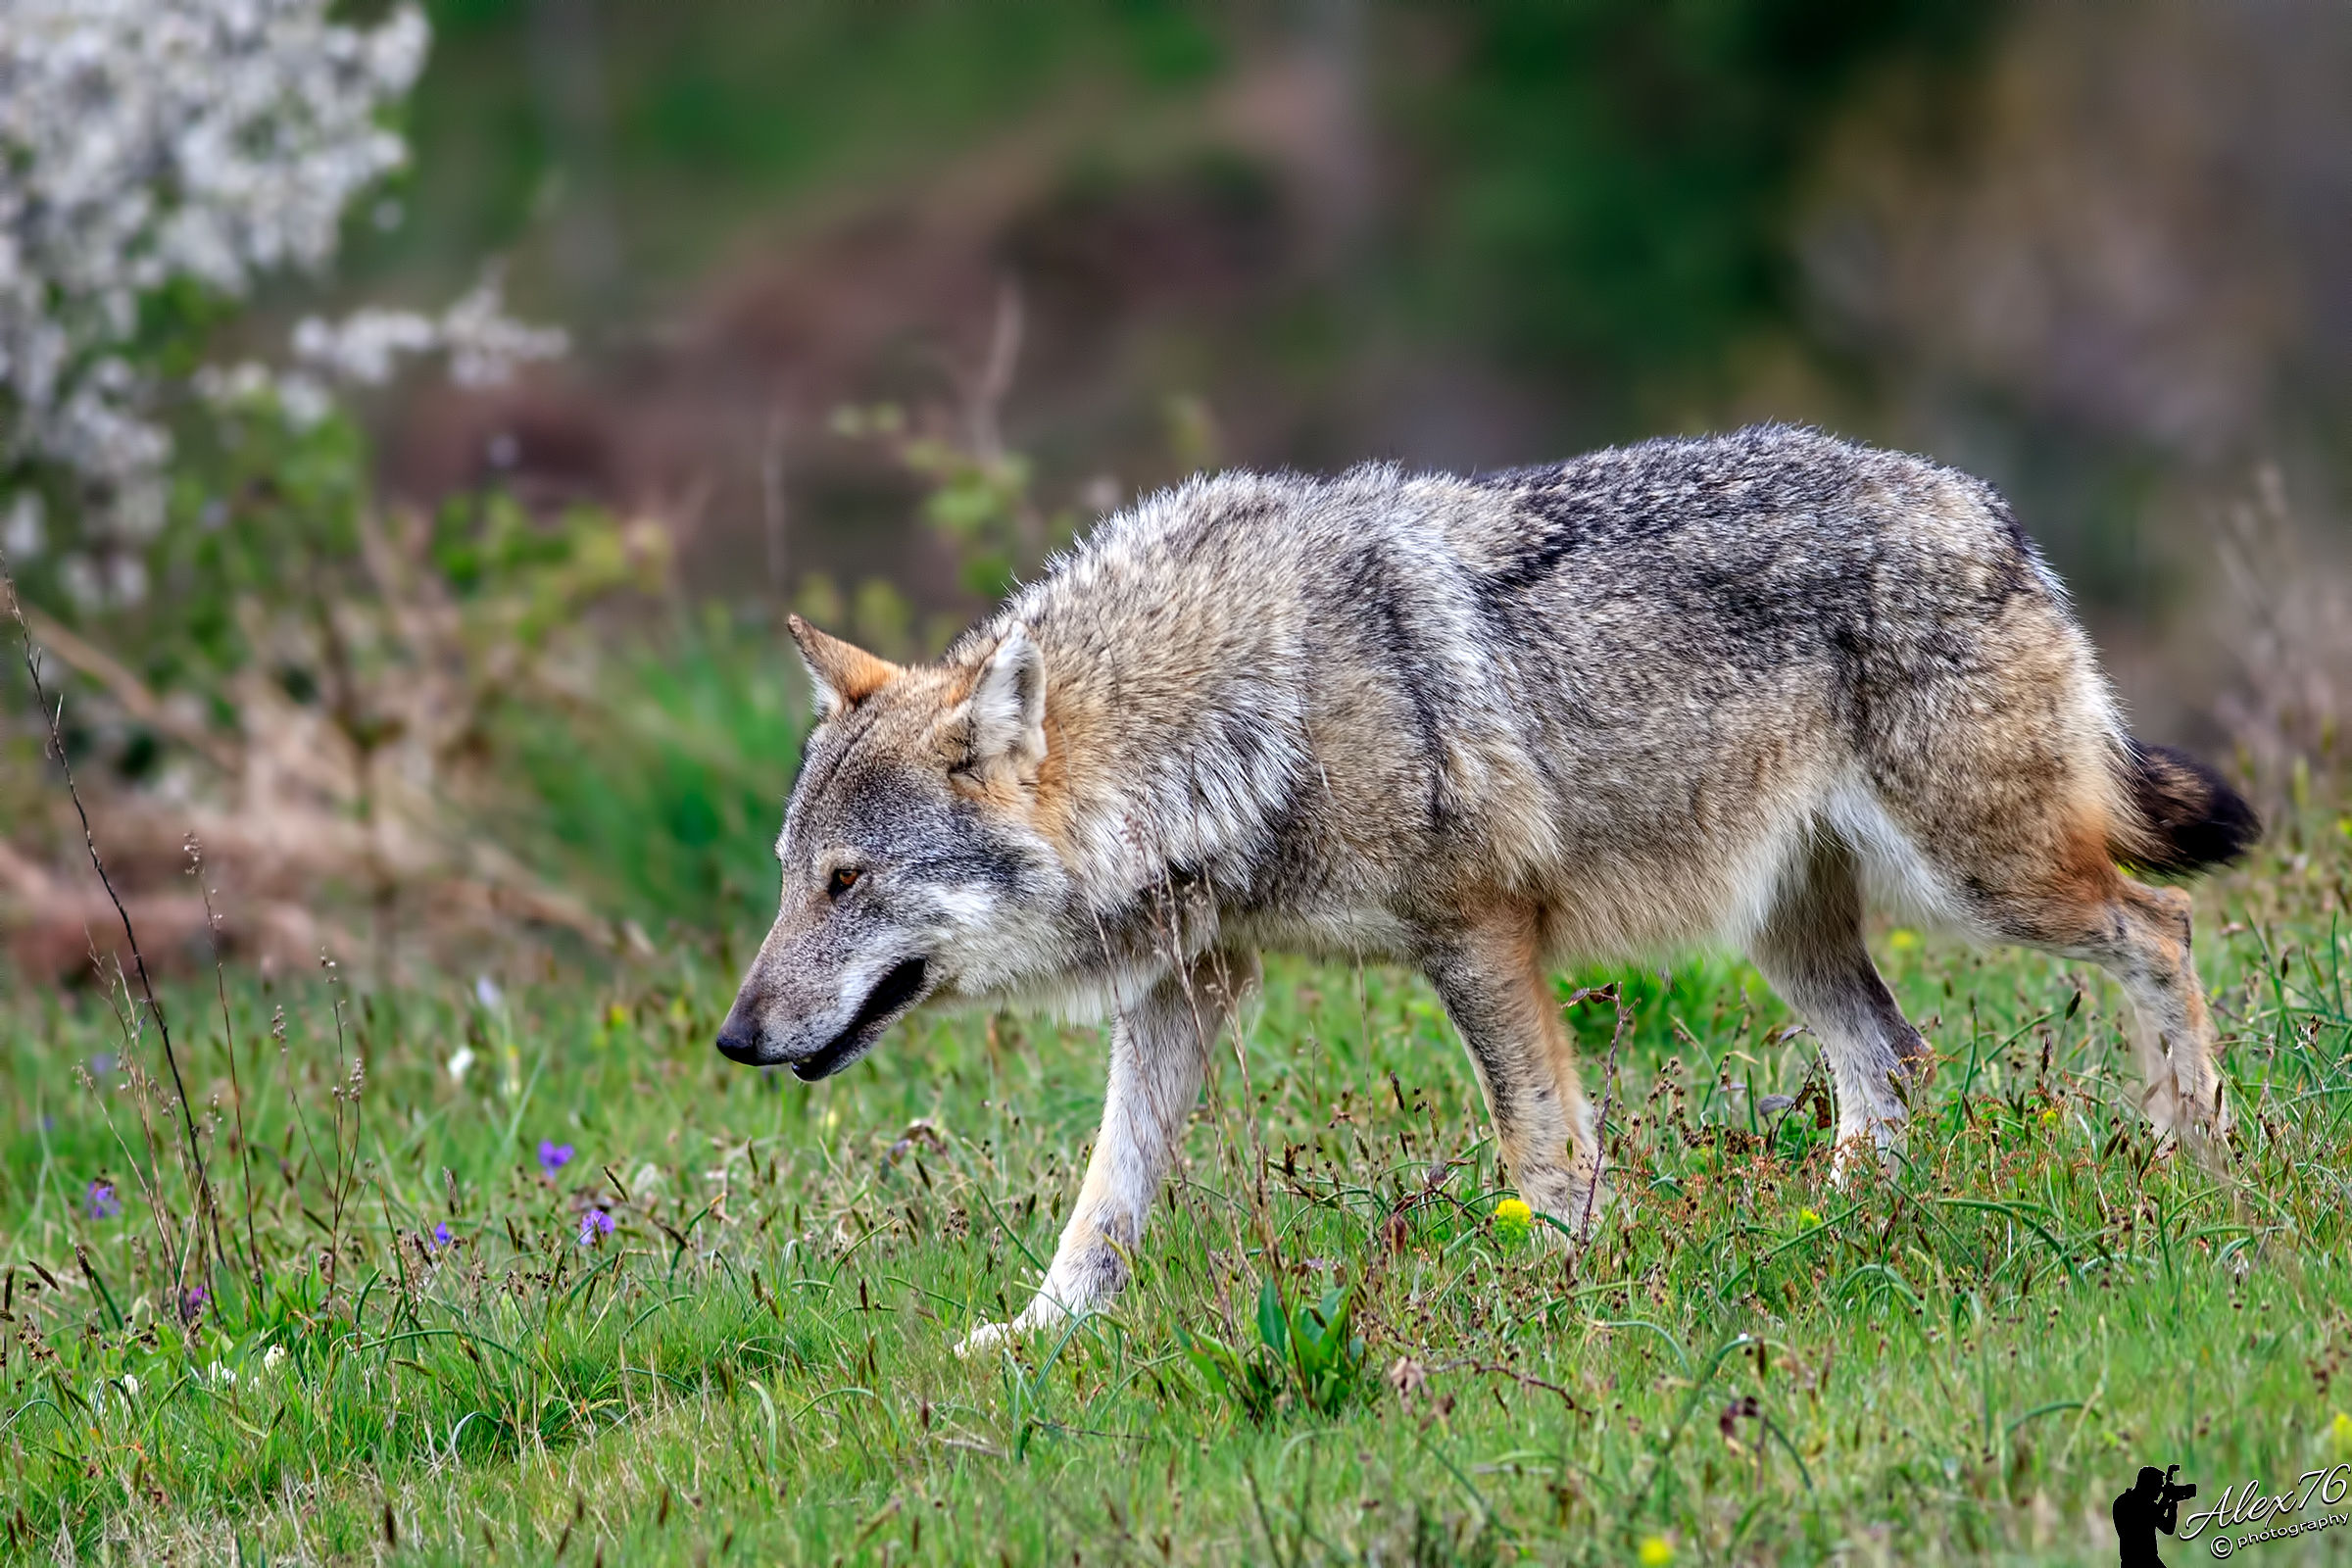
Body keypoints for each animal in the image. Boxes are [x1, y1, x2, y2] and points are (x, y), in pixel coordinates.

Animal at [715, 424, 2257, 1351]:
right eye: (794, 881)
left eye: (849, 882)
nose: (734, 1038)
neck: (1247, 709)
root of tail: (1991, 507)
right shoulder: (1188, 984)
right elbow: (1106, 1193)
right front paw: (1042, 1337)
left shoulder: (1476, 932)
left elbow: (1544, 1148)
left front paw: (1552, 1293)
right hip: (1789, 932)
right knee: (1888, 1059)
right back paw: (1833, 1229)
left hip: (1980, 887)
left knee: (2161, 926)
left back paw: (2191, 1152)